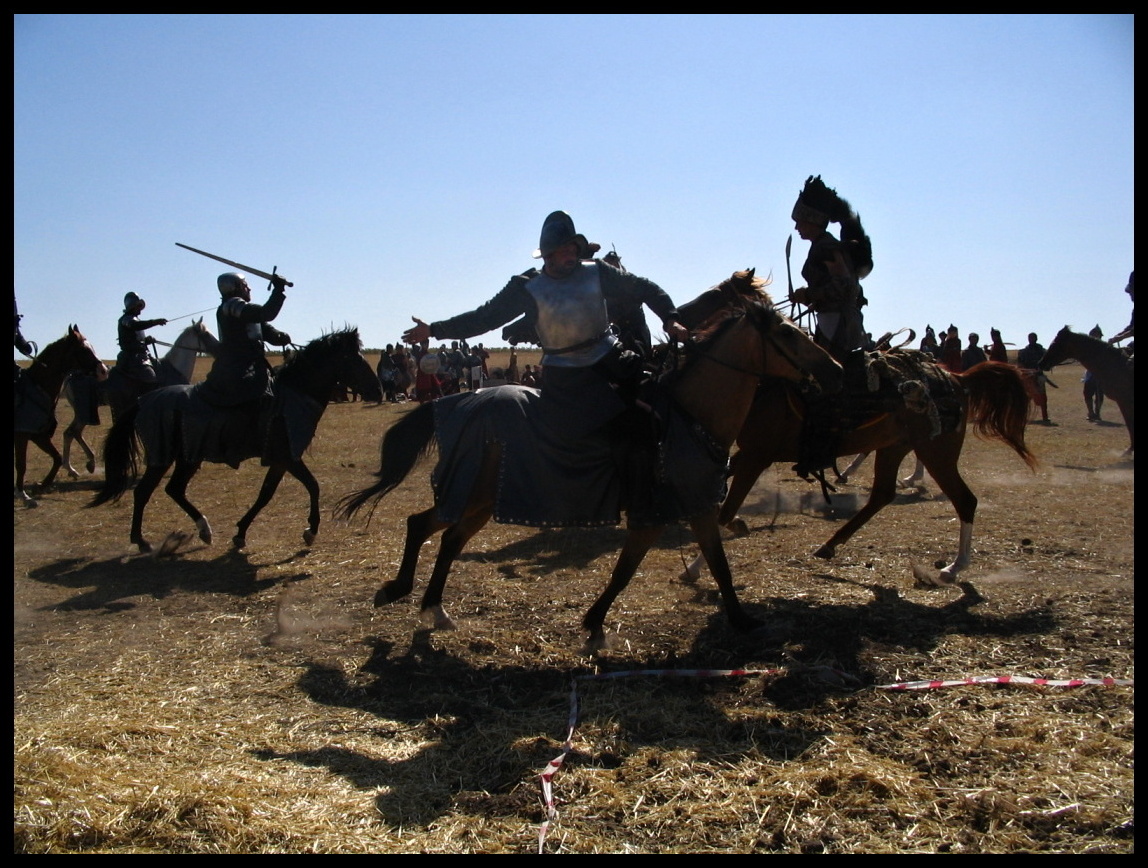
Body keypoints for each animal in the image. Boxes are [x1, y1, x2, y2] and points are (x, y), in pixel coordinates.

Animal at [14, 326, 107, 505]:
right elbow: (21, 465)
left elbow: (56, 458)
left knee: (72, 433)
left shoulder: (39, 436)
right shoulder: (22, 435)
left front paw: (43, 484)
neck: (38, 388)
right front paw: (24, 495)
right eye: (83, 349)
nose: (103, 371)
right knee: (72, 432)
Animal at [60, 316, 220, 475]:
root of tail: (71, 375)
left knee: (72, 433)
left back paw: (84, 465)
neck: (174, 368)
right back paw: (74, 467)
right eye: (206, 334)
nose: (218, 347)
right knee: (71, 433)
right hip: (84, 412)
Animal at [89, 328, 383, 553]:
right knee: (143, 492)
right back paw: (141, 541)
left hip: (188, 457)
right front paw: (311, 529)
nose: (378, 390)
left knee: (174, 489)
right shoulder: (288, 457)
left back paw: (203, 530)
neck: (295, 392)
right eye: (355, 360)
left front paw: (241, 533)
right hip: (163, 457)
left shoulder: (279, 461)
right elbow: (312, 486)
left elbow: (266, 494)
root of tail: (143, 400)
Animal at [335, 270, 844, 652]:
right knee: (422, 525)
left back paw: (435, 609)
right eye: (786, 333)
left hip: (481, 498)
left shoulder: (691, 509)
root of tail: (457, 400)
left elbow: (703, 564)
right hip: (467, 490)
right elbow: (635, 569)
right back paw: (399, 591)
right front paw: (597, 626)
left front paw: (739, 619)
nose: (835, 370)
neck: (687, 412)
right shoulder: (662, 511)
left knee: (447, 539)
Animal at [1037, 326, 1134, 454]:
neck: (1118, 366)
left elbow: (1130, 423)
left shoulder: (1124, 401)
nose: (1041, 363)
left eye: (1056, 344)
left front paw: (1130, 450)